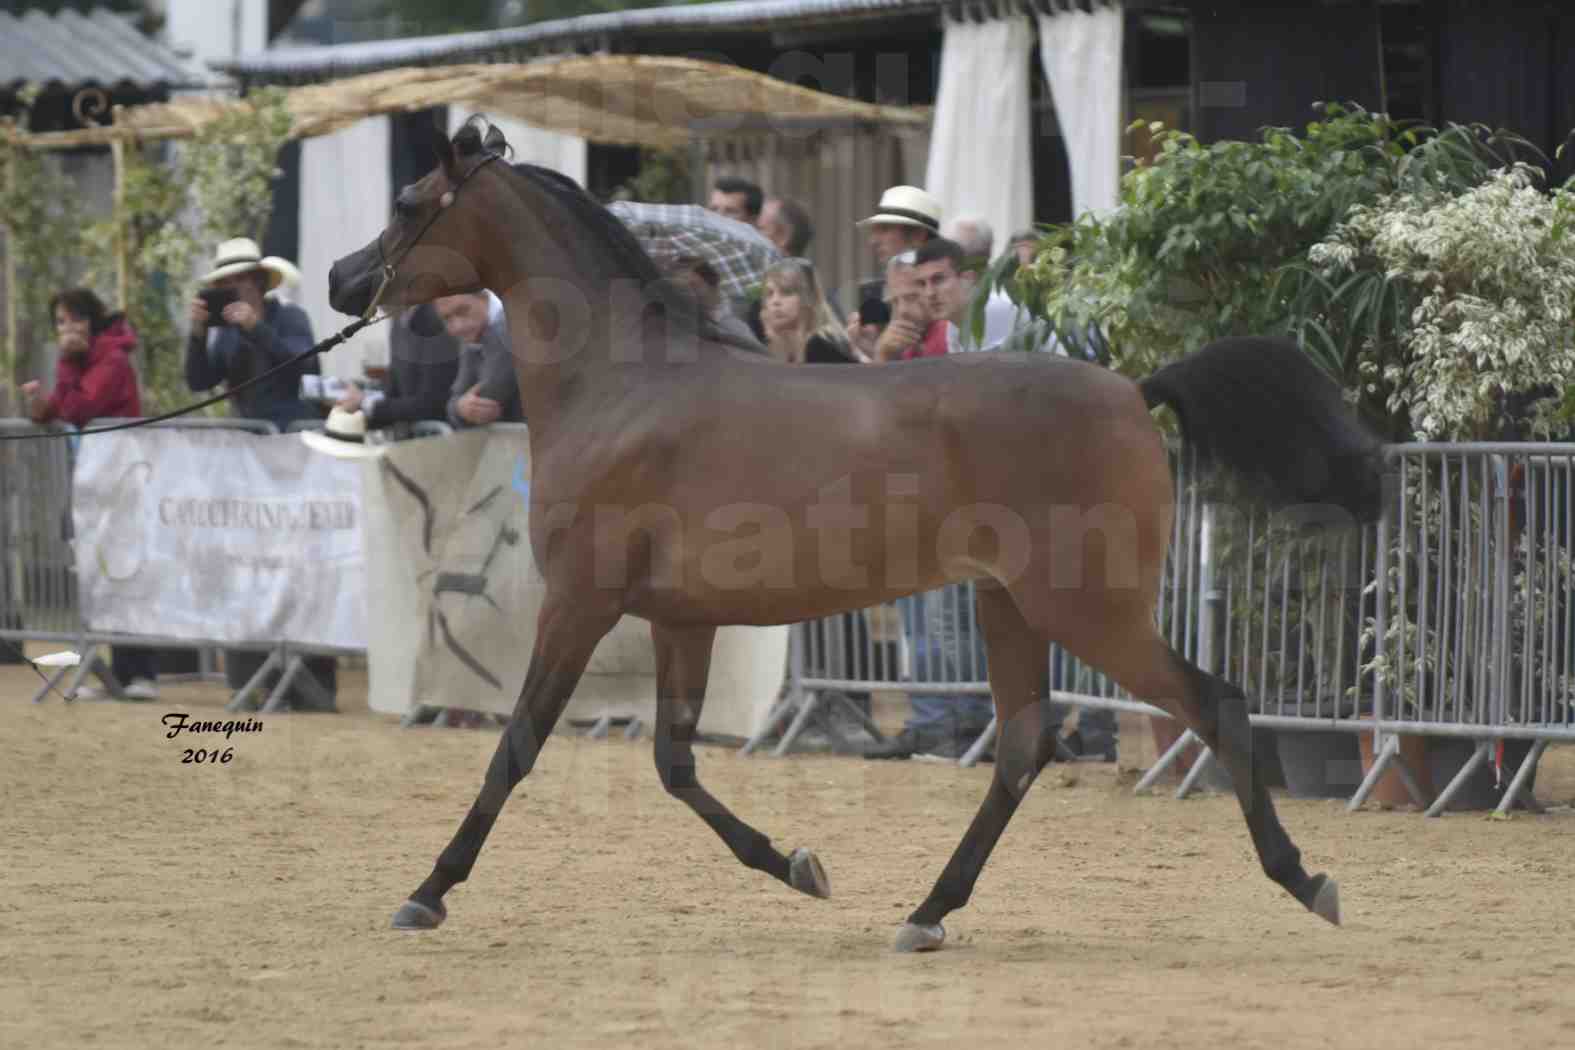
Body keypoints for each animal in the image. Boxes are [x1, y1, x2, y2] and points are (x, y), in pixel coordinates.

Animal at [332, 121, 1379, 950]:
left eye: (407, 199)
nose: (345, 279)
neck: (622, 386)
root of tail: (1132, 386)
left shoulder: (580, 603)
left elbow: (517, 746)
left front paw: (426, 893)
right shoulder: (681, 619)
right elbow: (675, 763)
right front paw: (798, 865)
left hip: (1088, 609)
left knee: (1213, 705)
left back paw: (1306, 881)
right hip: (1009, 605)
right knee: (1023, 743)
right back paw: (926, 913)